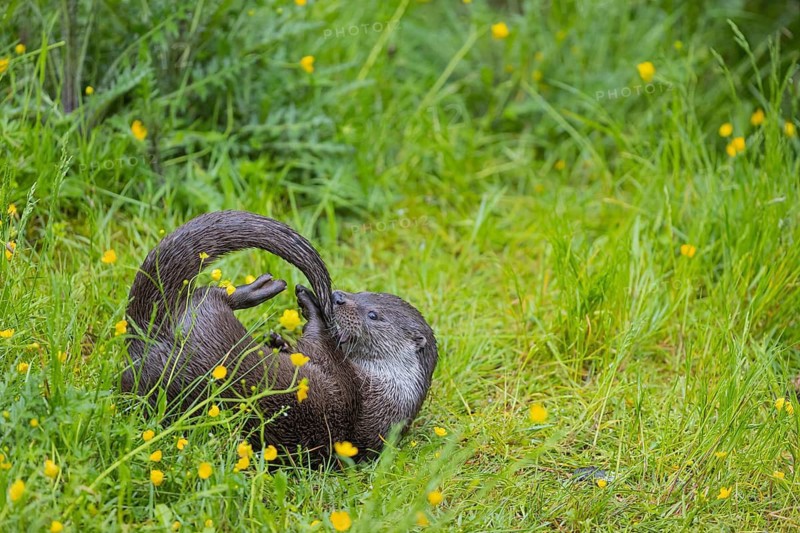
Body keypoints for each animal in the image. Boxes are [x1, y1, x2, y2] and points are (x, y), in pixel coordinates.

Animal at [122, 210, 437, 459]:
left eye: (373, 314)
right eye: (363, 292)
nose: (336, 297)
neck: (385, 389)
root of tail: (150, 336)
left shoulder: (348, 382)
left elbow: (318, 343)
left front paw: (310, 306)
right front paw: (279, 342)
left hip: (207, 323)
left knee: (210, 296)